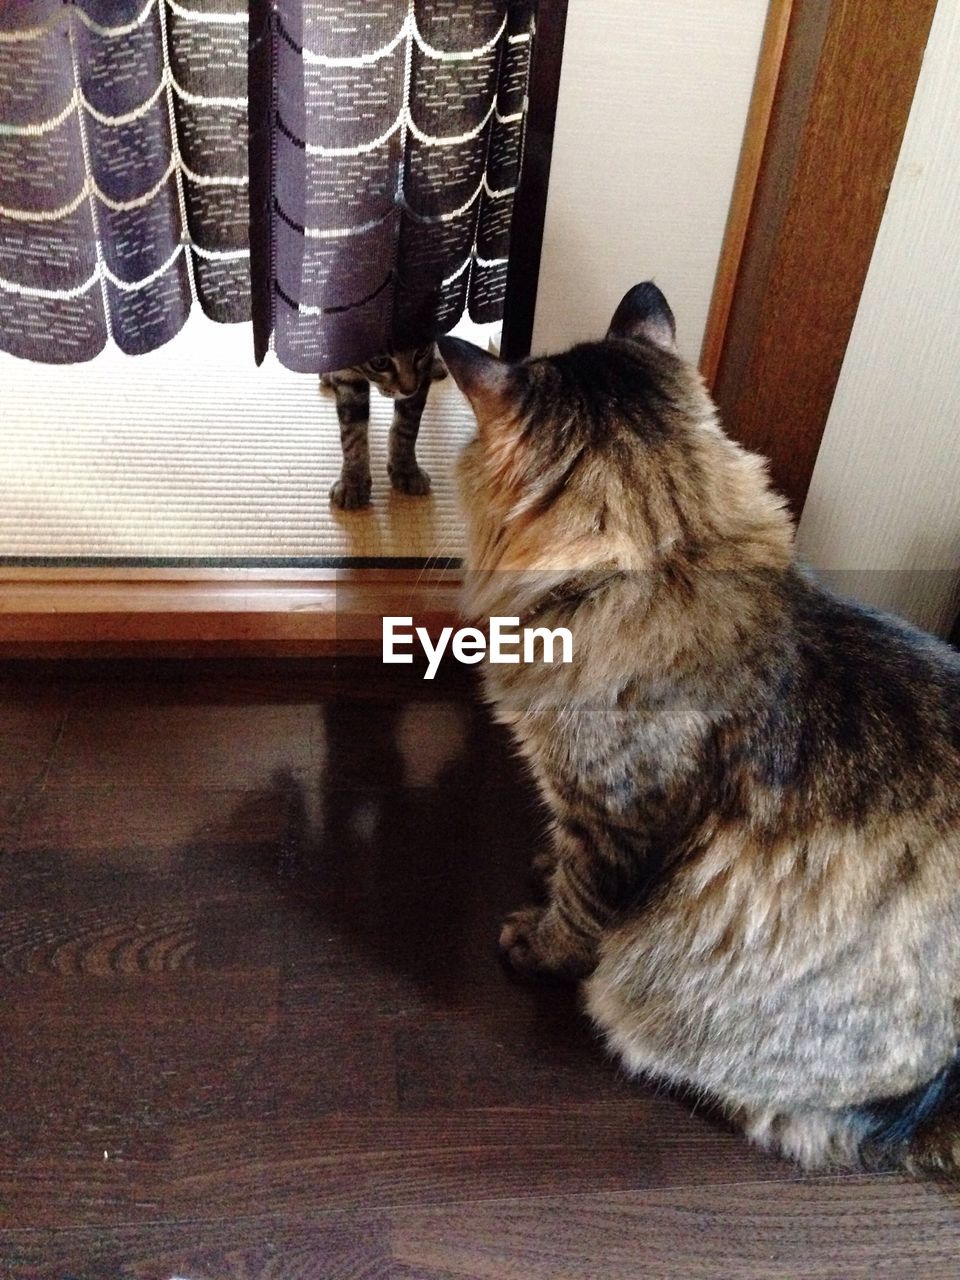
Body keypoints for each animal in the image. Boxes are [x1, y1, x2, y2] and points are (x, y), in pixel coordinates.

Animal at [320, 350, 448, 514]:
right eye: (380, 362)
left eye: (421, 353)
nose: (410, 390)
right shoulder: (347, 375)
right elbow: (352, 433)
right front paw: (353, 481)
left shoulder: (423, 370)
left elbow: (407, 425)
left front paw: (406, 468)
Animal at [440, 285, 960, 1172]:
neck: (662, 560)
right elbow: (560, 856)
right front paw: (542, 863)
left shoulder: (615, 814)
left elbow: (580, 906)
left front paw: (538, 943)